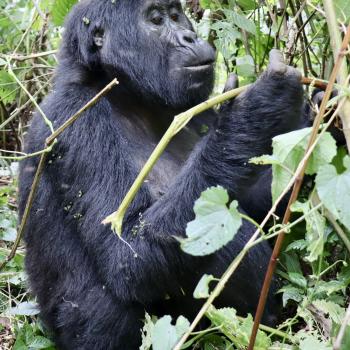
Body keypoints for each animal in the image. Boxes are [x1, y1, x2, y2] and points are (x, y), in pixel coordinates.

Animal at [19, 0, 304, 348]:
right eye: (156, 20)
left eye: (176, 16)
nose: (189, 37)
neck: (124, 94)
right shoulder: (76, 118)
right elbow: (127, 254)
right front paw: (257, 110)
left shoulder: (196, 109)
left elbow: (240, 202)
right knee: (109, 304)